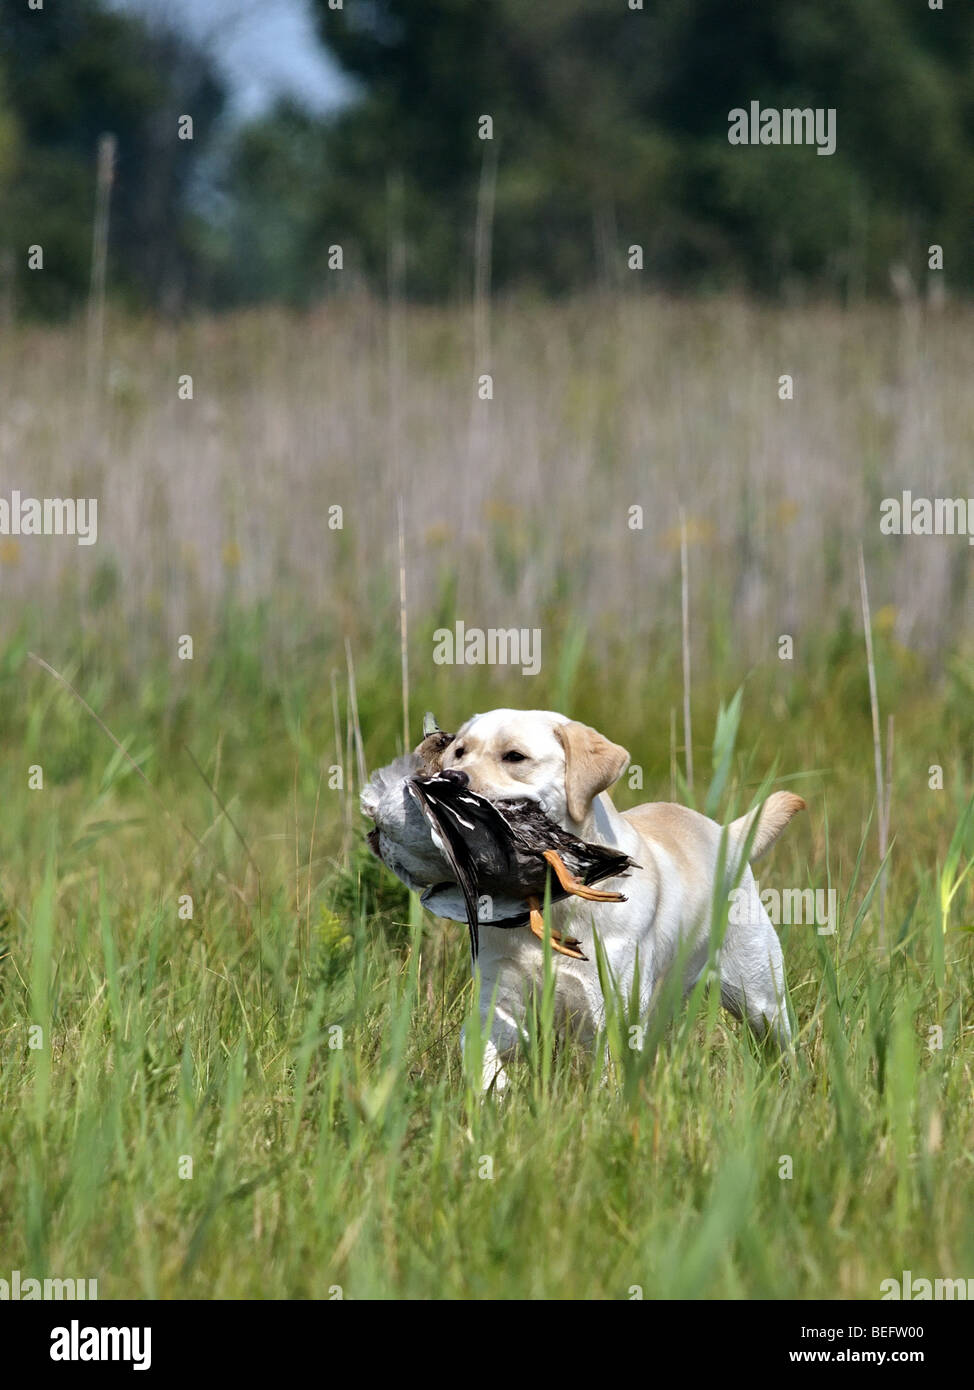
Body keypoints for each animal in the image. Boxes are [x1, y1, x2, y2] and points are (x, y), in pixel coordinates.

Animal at [441, 711, 805, 1089]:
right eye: (459, 751)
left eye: (514, 756)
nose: (450, 777)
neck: (555, 905)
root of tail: (726, 834)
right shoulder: (499, 1001)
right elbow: (482, 1052)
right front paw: (492, 1095)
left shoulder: (611, 1010)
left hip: (761, 997)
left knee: (782, 1042)